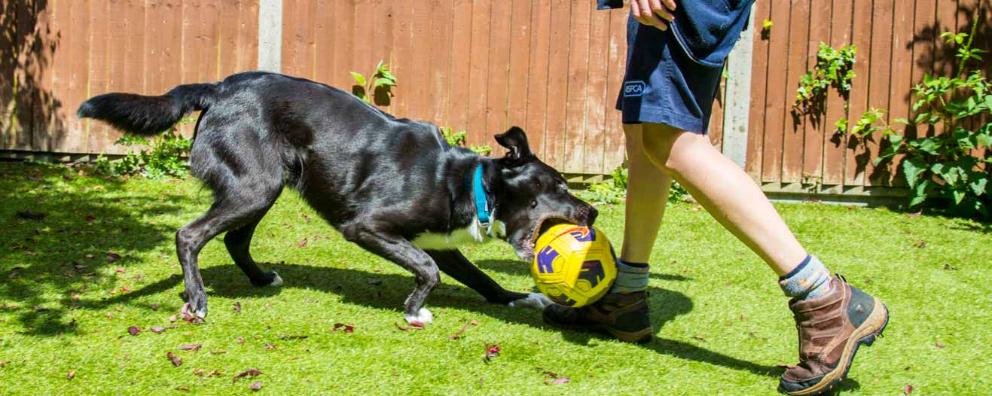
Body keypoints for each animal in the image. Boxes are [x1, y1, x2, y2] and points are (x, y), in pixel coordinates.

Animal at [79, 71, 596, 324]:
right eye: (559, 185)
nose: (592, 212)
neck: (463, 180)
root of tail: (220, 88)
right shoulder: (366, 228)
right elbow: (427, 270)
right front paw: (414, 311)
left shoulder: (441, 243)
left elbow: (479, 278)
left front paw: (516, 297)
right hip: (254, 187)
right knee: (189, 235)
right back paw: (198, 299)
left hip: (264, 187)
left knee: (233, 240)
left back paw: (260, 279)